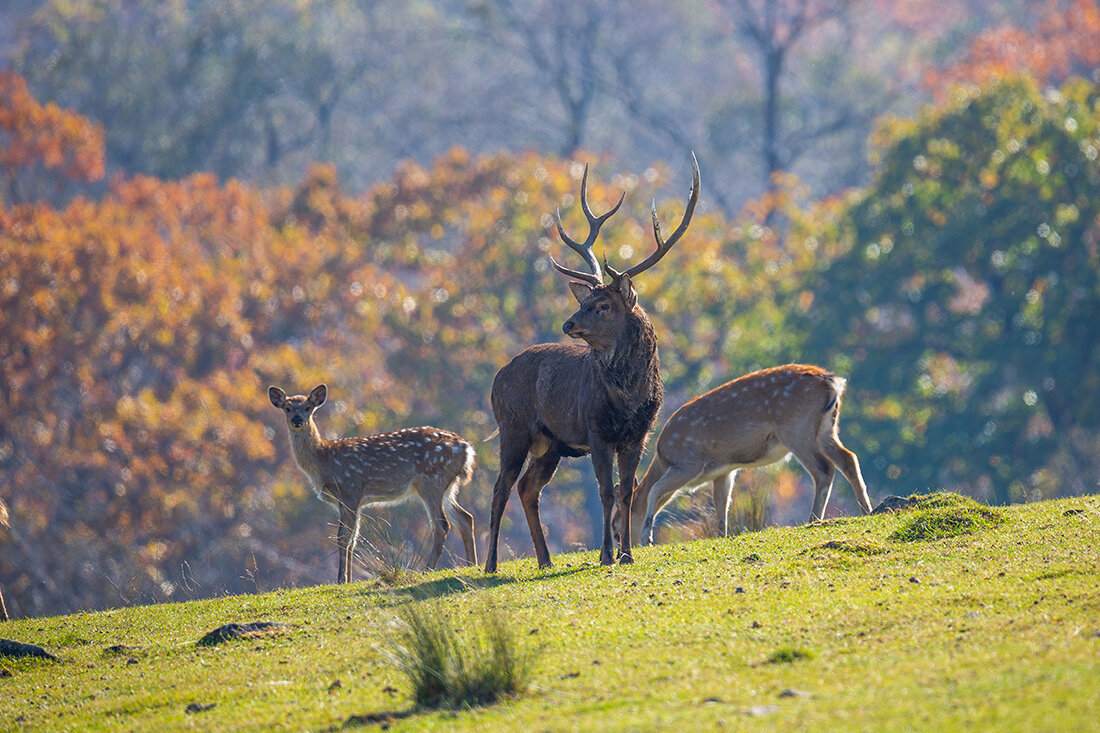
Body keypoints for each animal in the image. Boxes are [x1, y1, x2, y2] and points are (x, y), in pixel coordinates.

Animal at [270, 383, 477, 581]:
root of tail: (467, 448)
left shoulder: (350, 490)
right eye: (287, 408)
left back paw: (427, 569)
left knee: (442, 525)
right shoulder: (350, 501)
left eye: (308, 407)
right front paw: (348, 579)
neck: (323, 461)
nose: (297, 419)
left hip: (432, 480)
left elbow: (343, 537)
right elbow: (353, 539)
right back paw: (471, 565)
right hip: (448, 487)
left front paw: (341, 579)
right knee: (465, 518)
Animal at [486, 150, 699, 567]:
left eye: (603, 305)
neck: (628, 400)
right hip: (513, 426)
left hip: (550, 443)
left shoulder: (638, 434)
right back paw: (489, 563)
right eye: (585, 301)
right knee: (501, 487)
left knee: (528, 487)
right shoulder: (596, 429)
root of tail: (497, 378)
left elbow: (627, 490)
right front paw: (605, 554)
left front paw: (627, 553)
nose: (568, 323)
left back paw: (545, 559)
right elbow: (605, 489)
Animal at [633, 363, 871, 541]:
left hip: (797, 428)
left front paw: (647, 537)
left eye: (624, 515)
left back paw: (813, 519)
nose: (626, 547)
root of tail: (833, 382)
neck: (663, 459)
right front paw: (721, 536)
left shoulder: (688, 463)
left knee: (824, 469)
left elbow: (654, 490)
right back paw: (866, 510)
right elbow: (722, 505)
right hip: (826, 428)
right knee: (849, 458)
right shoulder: (723, 471)